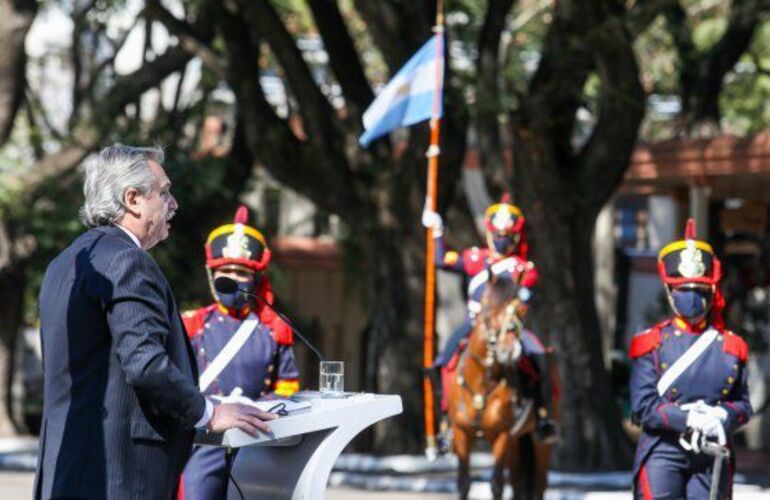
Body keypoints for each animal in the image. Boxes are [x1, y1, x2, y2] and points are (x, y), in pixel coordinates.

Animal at [444, 278, 560, 500]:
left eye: (522, 309)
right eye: (488, 307)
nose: (509, 351)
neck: (483, 381)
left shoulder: (502, 434)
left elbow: (497, 485)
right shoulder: (462, 432)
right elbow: (463, 484)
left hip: (540, 443)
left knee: (539, 484)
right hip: (516, 443)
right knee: (517, 483)